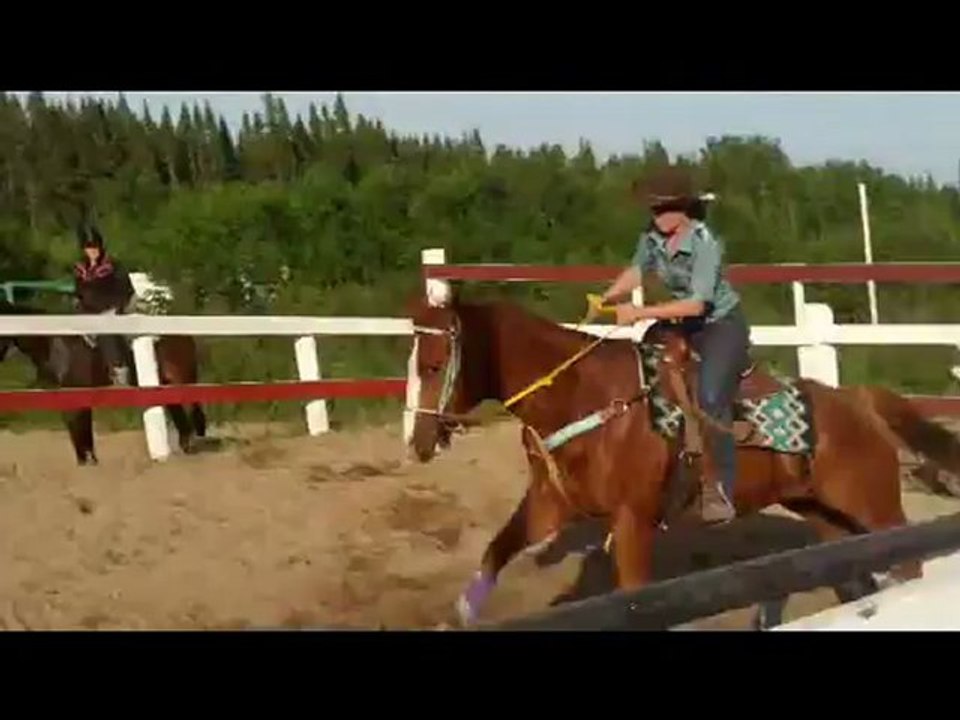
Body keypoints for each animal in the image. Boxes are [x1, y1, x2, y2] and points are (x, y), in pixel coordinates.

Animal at [0, 301, 207, 464]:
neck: (56, 346)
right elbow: (76, 429)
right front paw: (85, 462)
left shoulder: (78, 393)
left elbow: (81, 427)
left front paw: (90, 460)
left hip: (181, 379)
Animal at [404, 291, 960, 628]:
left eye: (432, 364)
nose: (416, 441)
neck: (584, 397)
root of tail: (857, 400)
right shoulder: (549, 505)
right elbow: (495, 551)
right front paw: (458, 614)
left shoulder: (633, 521)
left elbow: (634, 595)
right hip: (826, 517)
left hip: (875, 506)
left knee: (910, 566)